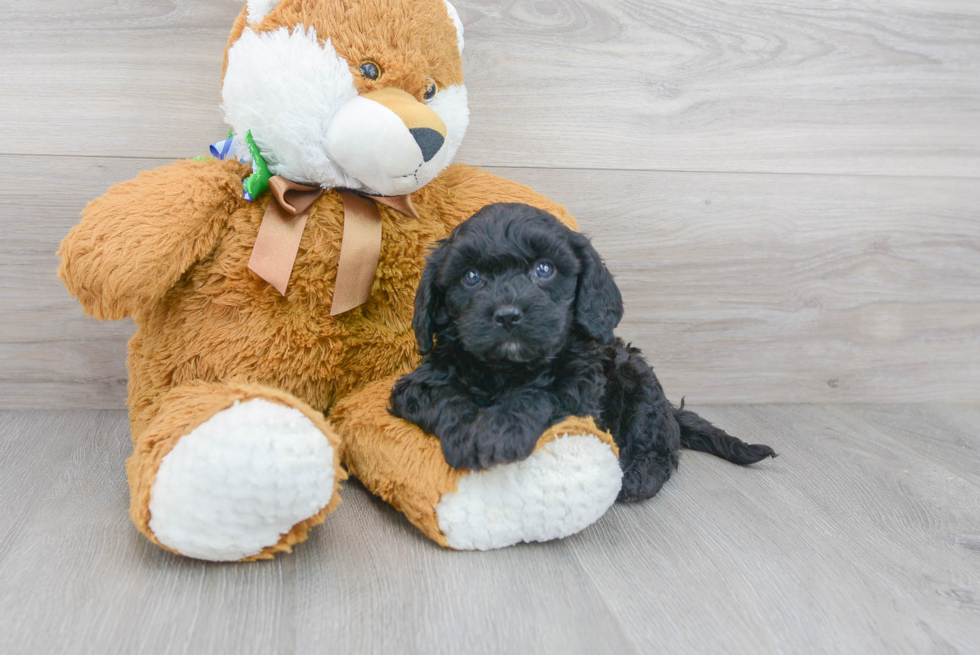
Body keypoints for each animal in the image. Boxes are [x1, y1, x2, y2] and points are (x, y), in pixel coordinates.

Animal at [390, 205, 772, 502]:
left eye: (544, 269)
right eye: (470, 277)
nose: (508, 315)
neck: (508, 368)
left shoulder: (580, 388)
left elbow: (537, 395)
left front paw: (499, 432)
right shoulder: (415, 385)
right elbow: (447, 398)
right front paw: (468, 434)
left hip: (638, 379)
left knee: (658, 446)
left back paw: (638, 477)